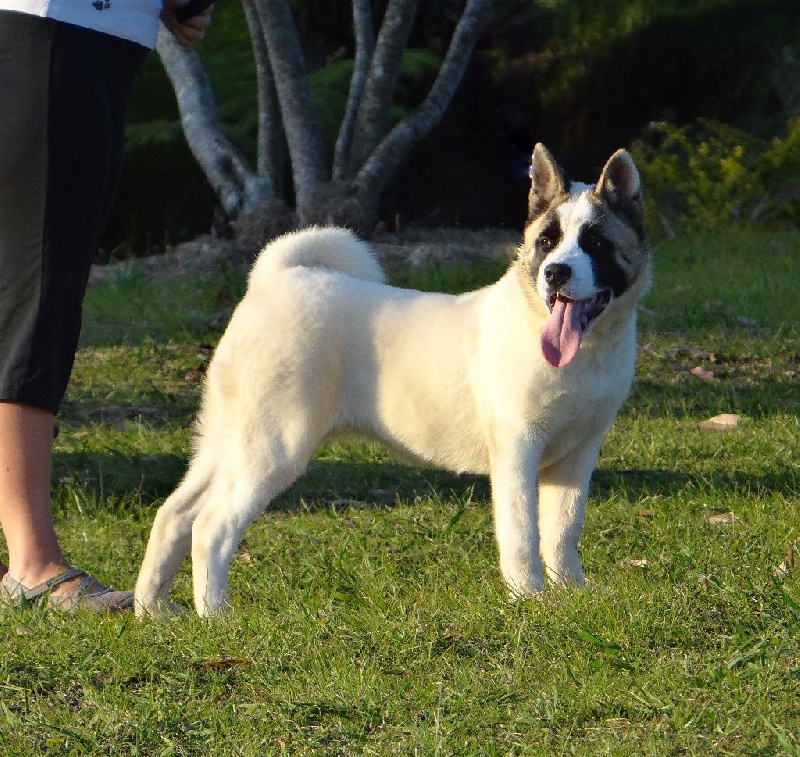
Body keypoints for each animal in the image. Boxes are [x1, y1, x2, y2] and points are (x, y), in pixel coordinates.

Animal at [136, 146, 648, 616]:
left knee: (175, 513)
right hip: (273, 445)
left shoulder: (577, 454)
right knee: (212, 526)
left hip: (228, 439)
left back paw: (152, 609)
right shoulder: (517, 450)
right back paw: (215, 615)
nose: (555, 272)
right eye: (546, 241)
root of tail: (274, 281)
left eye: (596, 244)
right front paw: (530, 600)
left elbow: (563, 528)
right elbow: (522, 533)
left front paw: (572, 594)